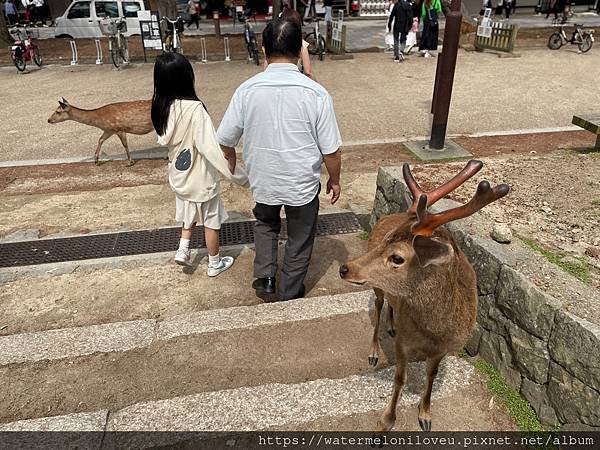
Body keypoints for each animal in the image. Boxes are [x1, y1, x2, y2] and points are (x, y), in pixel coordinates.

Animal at [340, 162, 508, 432]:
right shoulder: (404, 343)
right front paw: (385, 422)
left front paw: (426, 415)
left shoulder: (445, 348)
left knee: (390, 305)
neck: (435, 331)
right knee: (378, 305)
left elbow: (431, 375)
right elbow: (400, 378)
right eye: (385, 240)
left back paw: (391, 325)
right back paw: (374, 351)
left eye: (397, 257)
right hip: (376, 289)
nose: (345, 268)